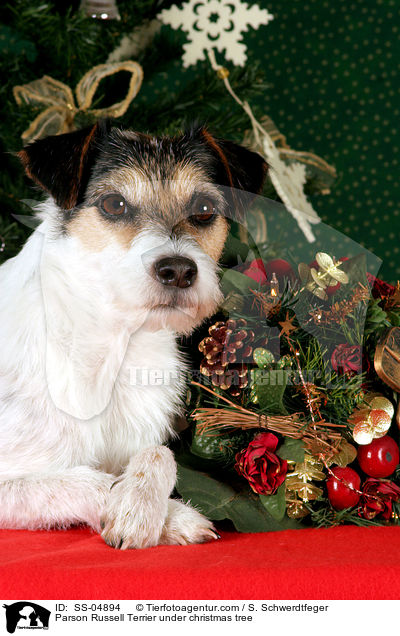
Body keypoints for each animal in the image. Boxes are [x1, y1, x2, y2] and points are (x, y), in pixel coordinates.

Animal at [0, 121, 268, 548]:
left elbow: (160, 454)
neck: (115, 346)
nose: (178, 270)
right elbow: (89, 480)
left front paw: (146, 504)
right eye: (114, 204)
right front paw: (141, 512)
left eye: (204, 209)